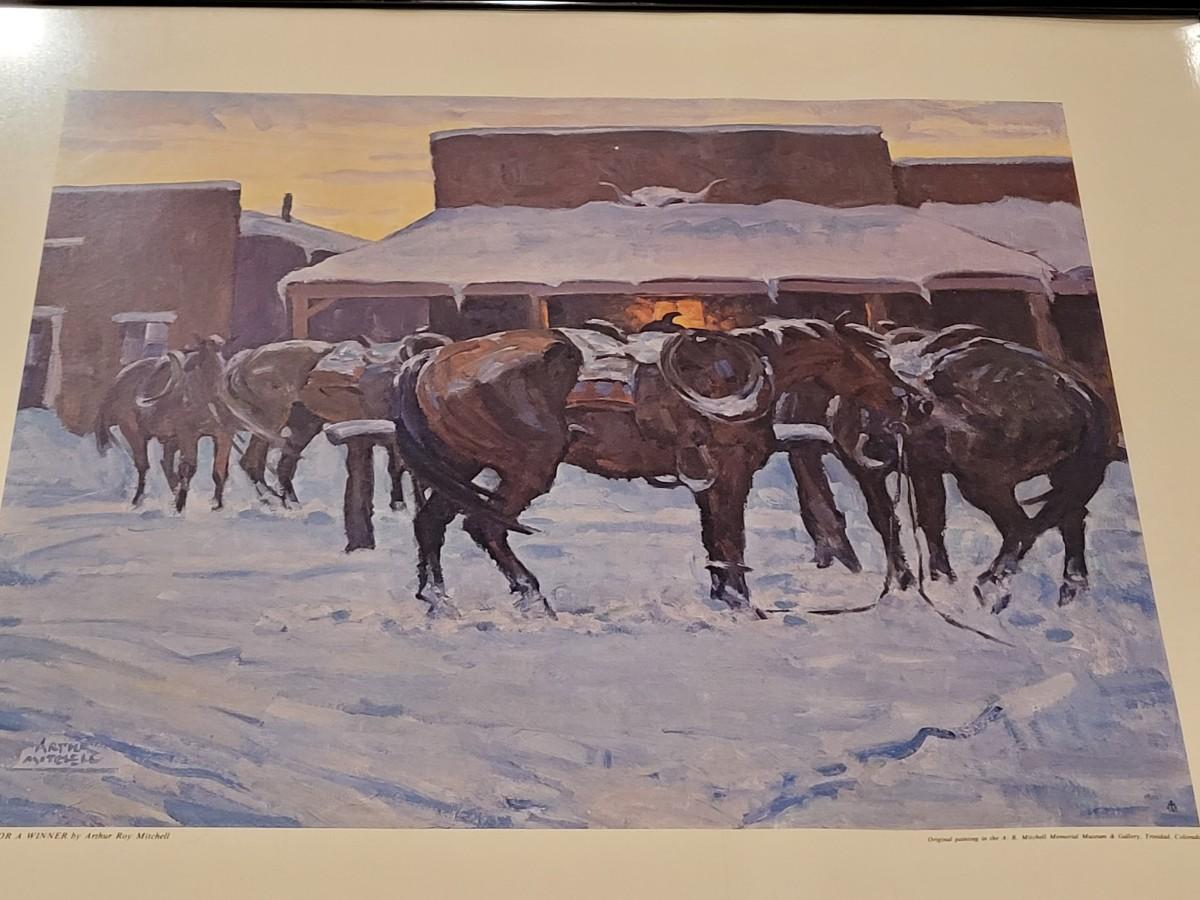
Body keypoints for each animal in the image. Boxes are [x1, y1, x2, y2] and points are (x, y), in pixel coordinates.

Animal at [94, 335, 236, 512]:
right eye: (203, 356)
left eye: (226, 354)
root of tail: (117, 382)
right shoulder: (187, 435)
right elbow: (188, 467)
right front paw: (180, 506)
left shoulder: (224, 435)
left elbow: (219, 471)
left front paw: (217, 503)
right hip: (134, 432)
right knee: (143, 465)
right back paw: (138, 499)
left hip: (170, 439)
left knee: (165, 463)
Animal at [388, 319, 918, 619]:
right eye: (878, 357)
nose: (910, 402)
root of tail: (430, 360)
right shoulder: (731, 475)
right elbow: (732, 538)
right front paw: (741, 603)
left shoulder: (709, 482)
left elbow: (716, 539)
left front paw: (723, 595)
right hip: (526, 469)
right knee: (486, 527)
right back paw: (532, 597)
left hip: (463, 465)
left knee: (431, 523)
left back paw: (437, 599)